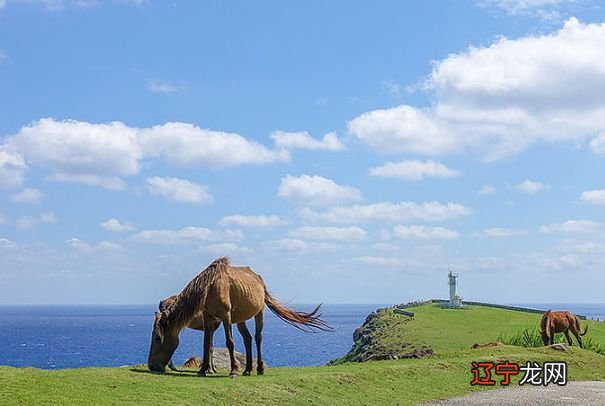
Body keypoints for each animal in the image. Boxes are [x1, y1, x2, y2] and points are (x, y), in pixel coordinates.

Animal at [149, 256, 332, 378]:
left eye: (158, 338)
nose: (151, 366)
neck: (210, 286)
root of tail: (259, 280)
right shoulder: (208, 317)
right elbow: (207, 343)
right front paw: (203, 370)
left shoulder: (225, 316)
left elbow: (229, 342)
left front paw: (232, 371)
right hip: (241, 318)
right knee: (247, 339)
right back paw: (247, 369)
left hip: (259, 313)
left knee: (257, 338)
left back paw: (258, 369)